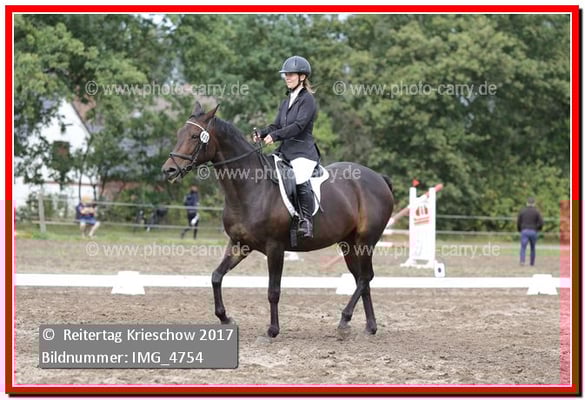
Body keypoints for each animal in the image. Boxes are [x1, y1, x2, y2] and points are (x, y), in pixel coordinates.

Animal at [162, 101, 394, 338]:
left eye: (194, 136)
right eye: (180, 134)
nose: (168, 170)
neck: (250, 188)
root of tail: (378, 178)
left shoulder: (275, 247)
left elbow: (273, 290)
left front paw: (272, 330)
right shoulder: (240, 244)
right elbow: (216, 276)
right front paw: (225, 318)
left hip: (365, 241)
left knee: (365, 277)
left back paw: (345, 319)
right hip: (348, 243)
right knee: (361, 279)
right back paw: (369, 326)